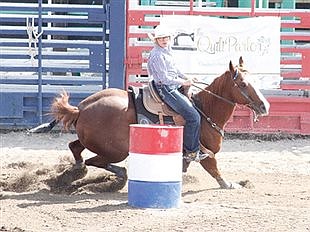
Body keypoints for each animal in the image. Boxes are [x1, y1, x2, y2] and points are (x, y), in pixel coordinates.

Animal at [48, 57, 268, 189]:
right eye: (242, 84)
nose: (265, 106)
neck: (204, 108)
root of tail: (82, 108)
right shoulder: (204, 151)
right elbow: (214, 168)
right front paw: (231, 184)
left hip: (92, 141)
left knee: (75, 148)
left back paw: (74, 172)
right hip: (116, 150)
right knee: (94, 161)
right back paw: (116, 174)